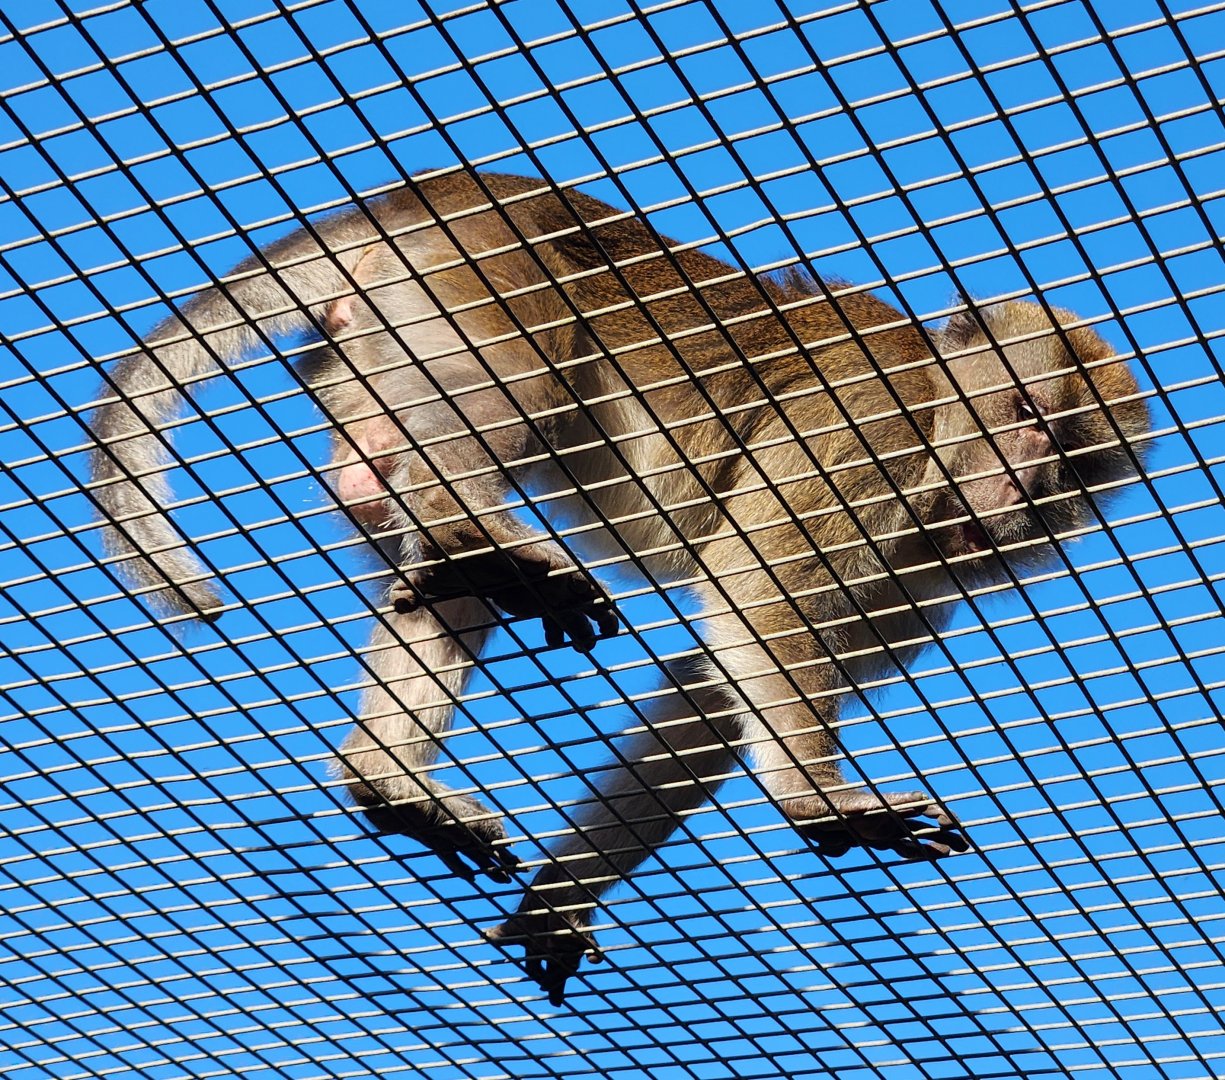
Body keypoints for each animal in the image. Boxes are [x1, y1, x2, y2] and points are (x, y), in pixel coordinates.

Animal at [88, 170, 1150, 1004]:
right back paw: (468, 528)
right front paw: (818, 798)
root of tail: (428, 199)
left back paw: (391, 773)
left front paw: (559, 902)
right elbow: (753, 582)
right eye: (1020, 412)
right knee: (509, 382)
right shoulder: (860, 435)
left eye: (1064, 455)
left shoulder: (923, 577)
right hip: (471, 287)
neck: (936, 427)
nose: (1015, 486)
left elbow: (706, 698)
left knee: (414, 541)